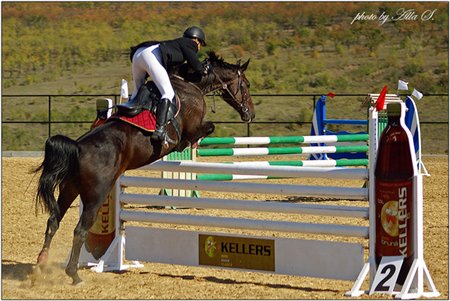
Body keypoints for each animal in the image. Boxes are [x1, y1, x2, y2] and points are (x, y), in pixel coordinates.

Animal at [33, 51, 255, 284]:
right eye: (247, 84)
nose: (251, 114)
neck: (190, 84)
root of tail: (77, 148)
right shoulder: (194, 125)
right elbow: (206, 129)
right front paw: (187, 143)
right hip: (95, 196)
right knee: (80, 231)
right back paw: (74, 274)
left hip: (70, 189)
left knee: (53, 221)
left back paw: (41, 264)